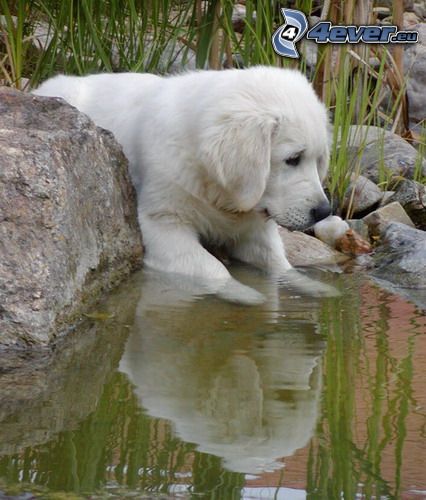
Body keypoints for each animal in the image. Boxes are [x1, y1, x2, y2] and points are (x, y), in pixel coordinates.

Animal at [34, 68, 332, 302]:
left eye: (317, 161)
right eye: (293, 159)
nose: (324, 211)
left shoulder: (253, 228)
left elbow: (279, 264)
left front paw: (315, 286)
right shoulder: (161, 224)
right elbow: (212, 268)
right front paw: (245, 293)